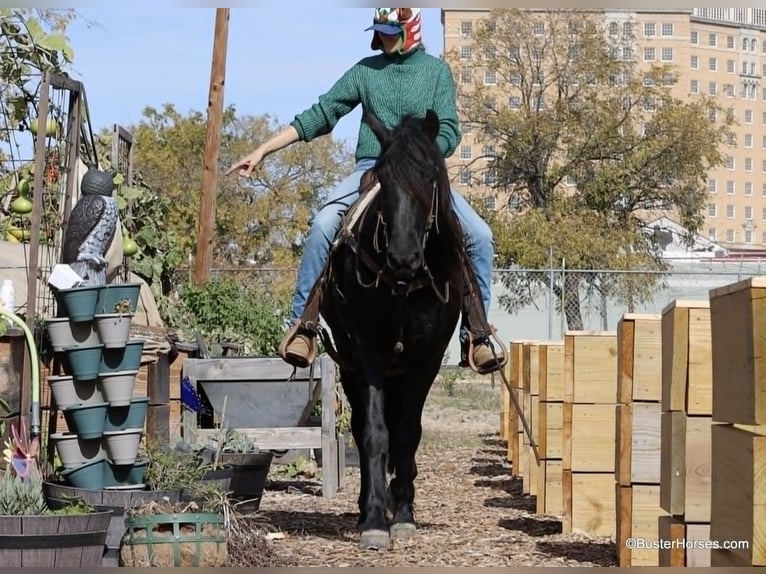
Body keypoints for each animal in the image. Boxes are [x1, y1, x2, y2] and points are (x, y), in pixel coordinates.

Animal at [318, 108, 474, 548]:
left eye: (429, 177)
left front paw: (403, 514)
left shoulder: (427, 358)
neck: (404, 286)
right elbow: (375, 432)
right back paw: (366, 508)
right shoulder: (365, 352)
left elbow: (407, 432)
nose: (403, 257)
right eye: (383, 180)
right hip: (350, 366)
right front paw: (374, 520)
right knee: (360, 427)